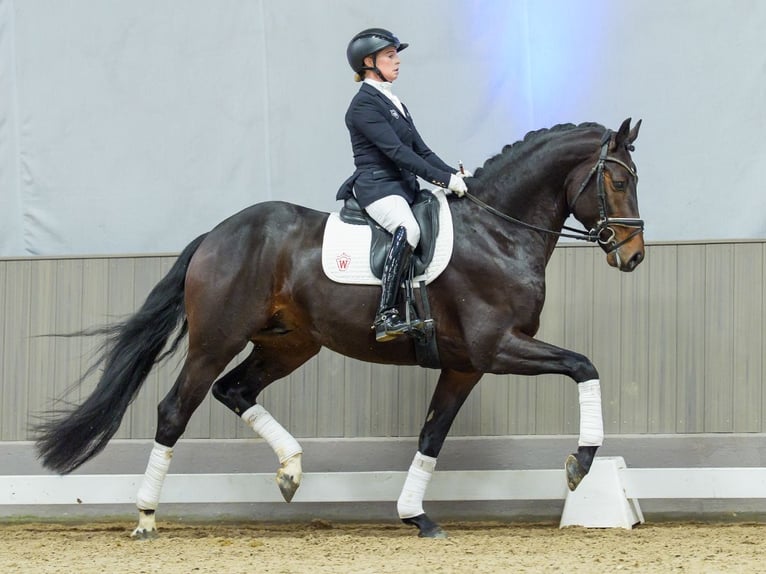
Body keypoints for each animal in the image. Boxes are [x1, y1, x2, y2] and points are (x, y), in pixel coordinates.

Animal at [35, 118, 645, 539]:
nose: (634, 254)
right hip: (215, 341)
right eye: (616, 180)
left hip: (290, 344)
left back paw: (290, 472)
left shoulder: (464, 365)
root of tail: (217, 233)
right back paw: (145, 516)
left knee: (235, 390)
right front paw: (580, 464)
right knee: (175, 410)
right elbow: (583, 365)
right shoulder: (497, 348)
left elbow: (431, 436)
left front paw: (415, 515)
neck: (498, 232)